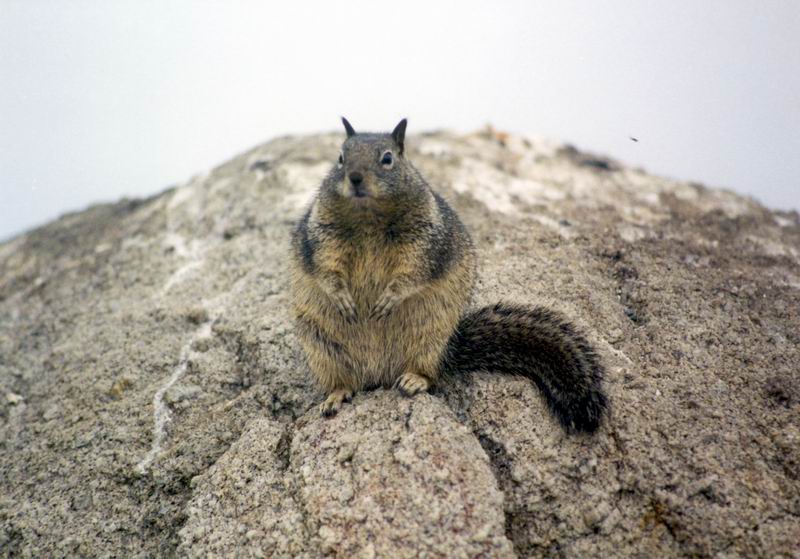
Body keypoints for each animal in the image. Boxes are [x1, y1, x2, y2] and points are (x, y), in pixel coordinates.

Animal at [288, 118, 608, 434]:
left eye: (387, 158)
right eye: (340, 157)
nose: (354, 178)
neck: (367, 214)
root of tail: (379, 375)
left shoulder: (424, 241)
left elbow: (413, 271)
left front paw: (389, 299)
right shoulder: (321, 236)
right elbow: (325, 268)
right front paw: (341, 297)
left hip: (428, 339)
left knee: (431, 376)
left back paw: (413, 380)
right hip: (322, 349)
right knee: (347, 382)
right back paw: (336, 396)